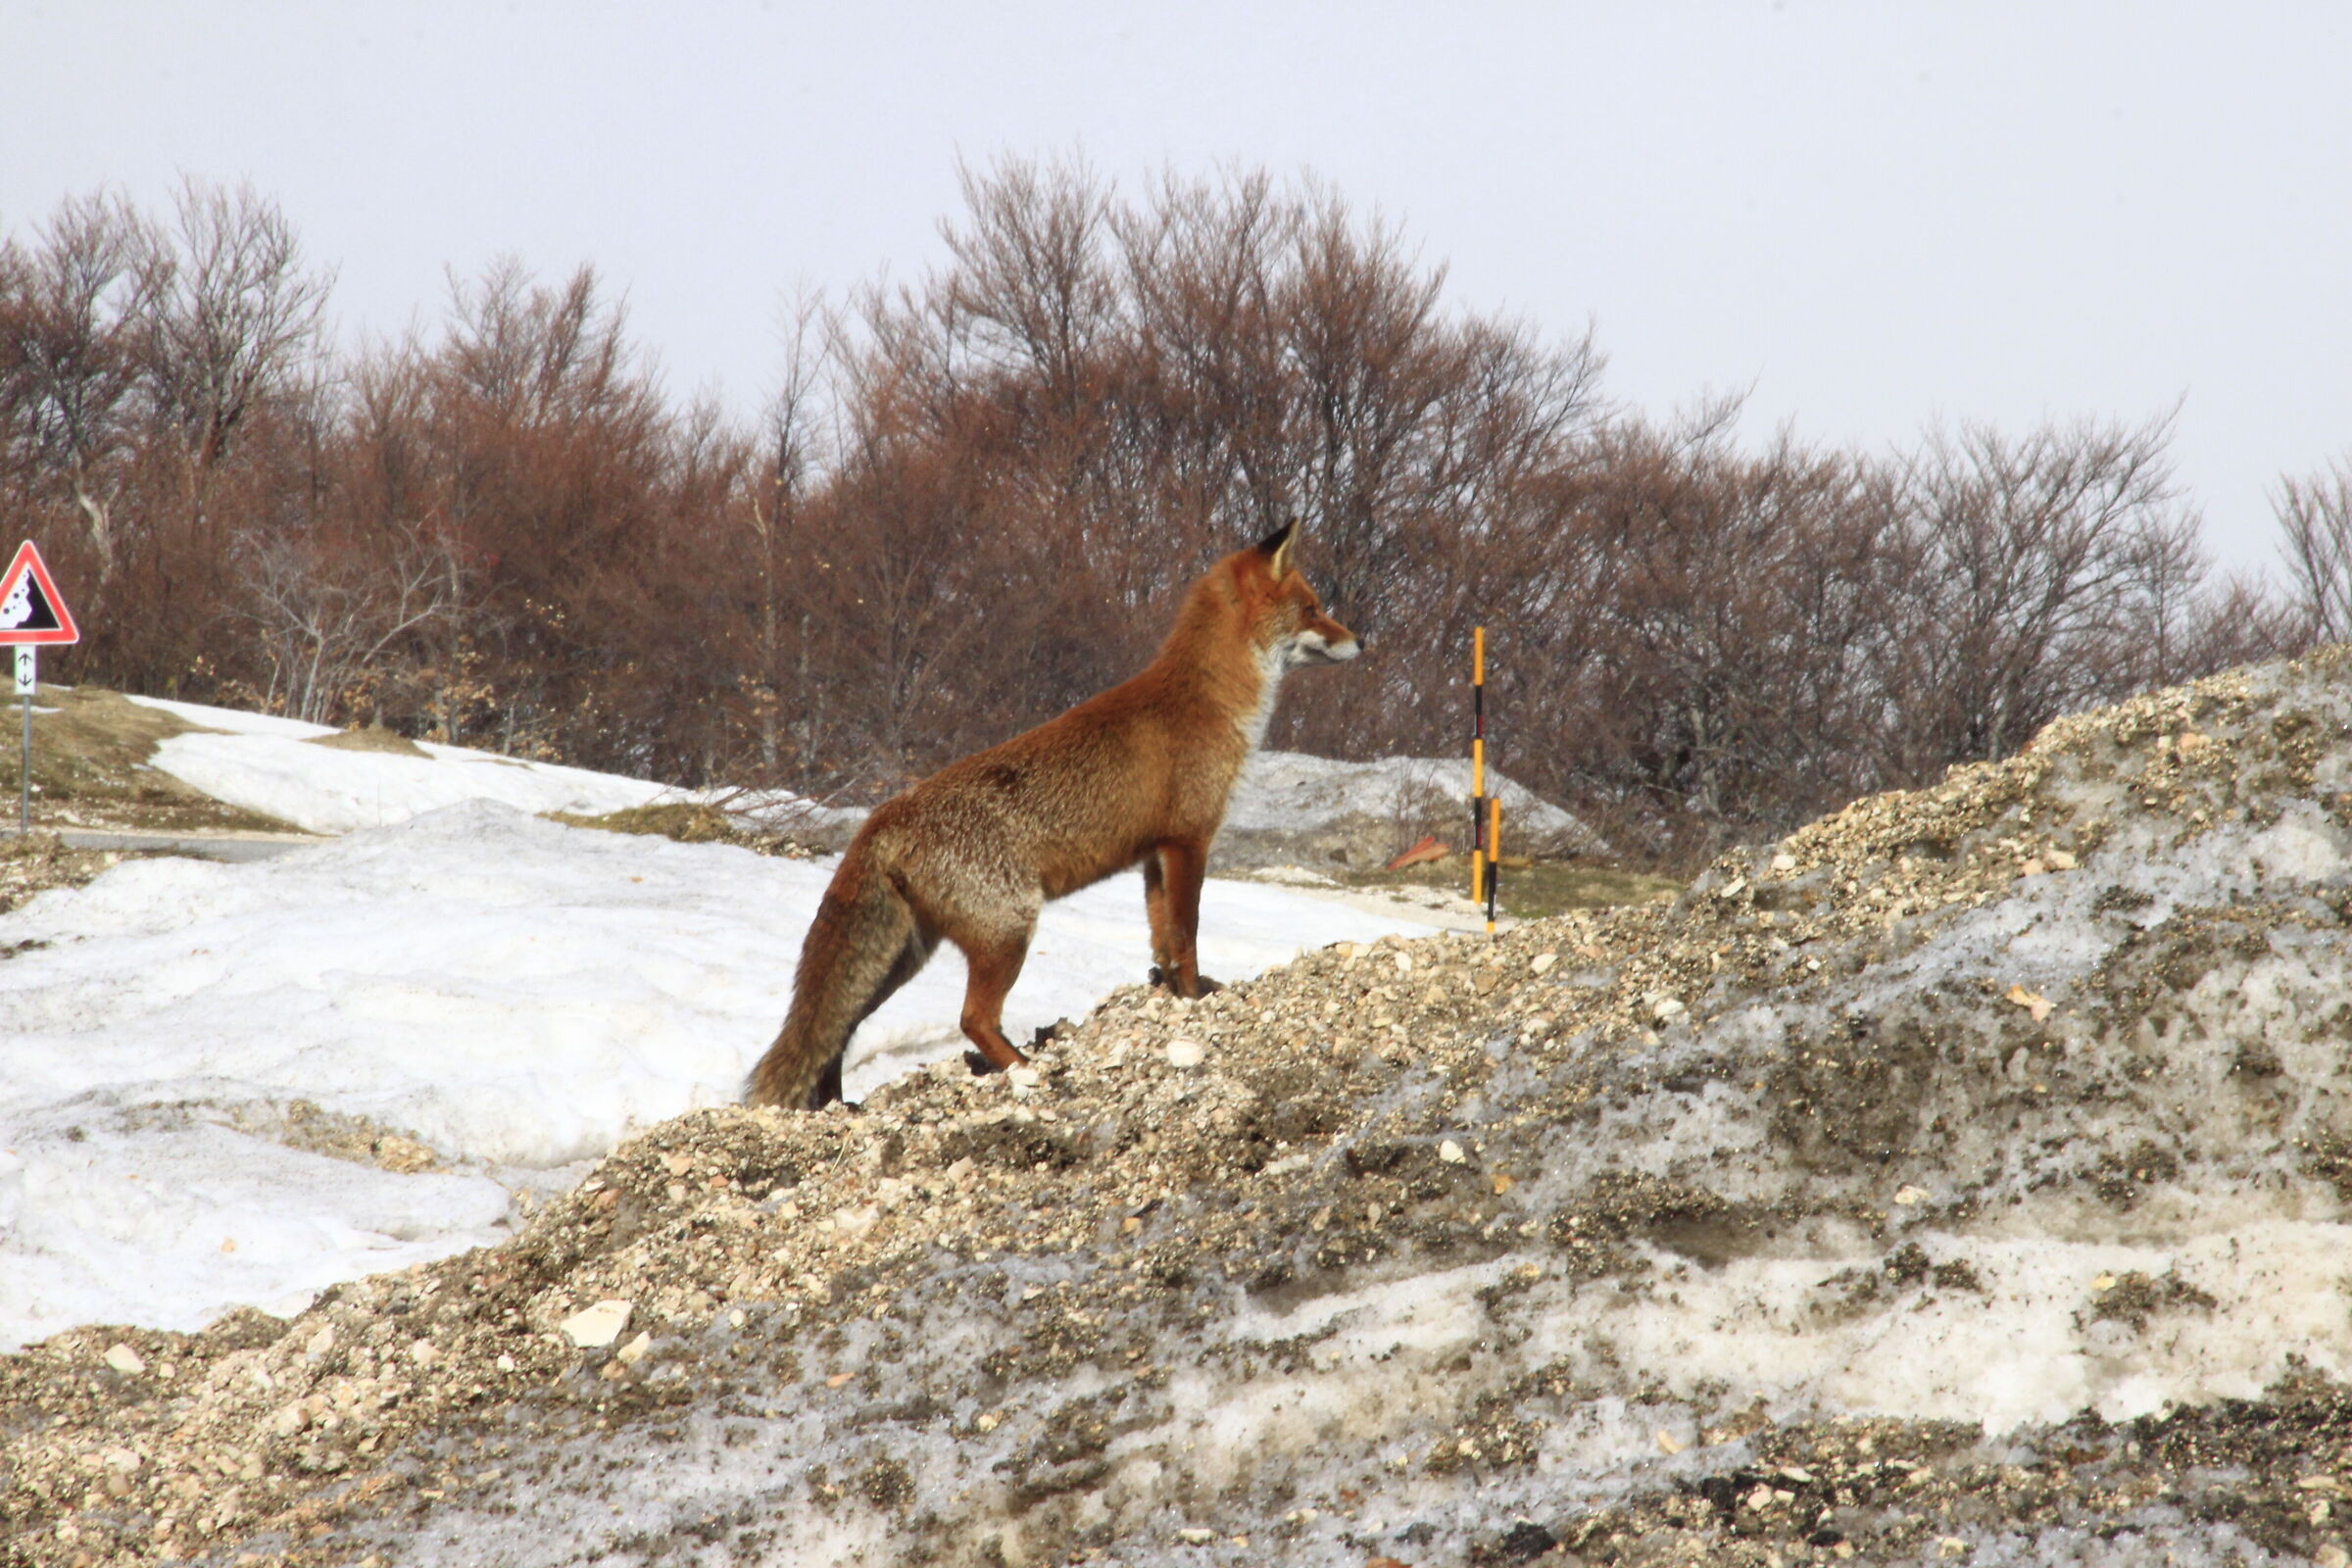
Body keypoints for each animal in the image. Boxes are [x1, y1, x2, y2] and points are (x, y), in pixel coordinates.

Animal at [746, 521, 1360, 1110]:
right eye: (1312, 608)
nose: (1360, 640)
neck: (1207, 701)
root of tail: (882, 817)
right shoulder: (1189, 840)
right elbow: (1186, 937)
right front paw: (1191, 1000)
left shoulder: (1155, 855)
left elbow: (1162, 942)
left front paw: (1172, 994)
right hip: (1008, 931)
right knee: (970, 1018)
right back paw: (1026, 1070)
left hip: (905, 957)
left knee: (839, 1031)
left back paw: (836, 1105)